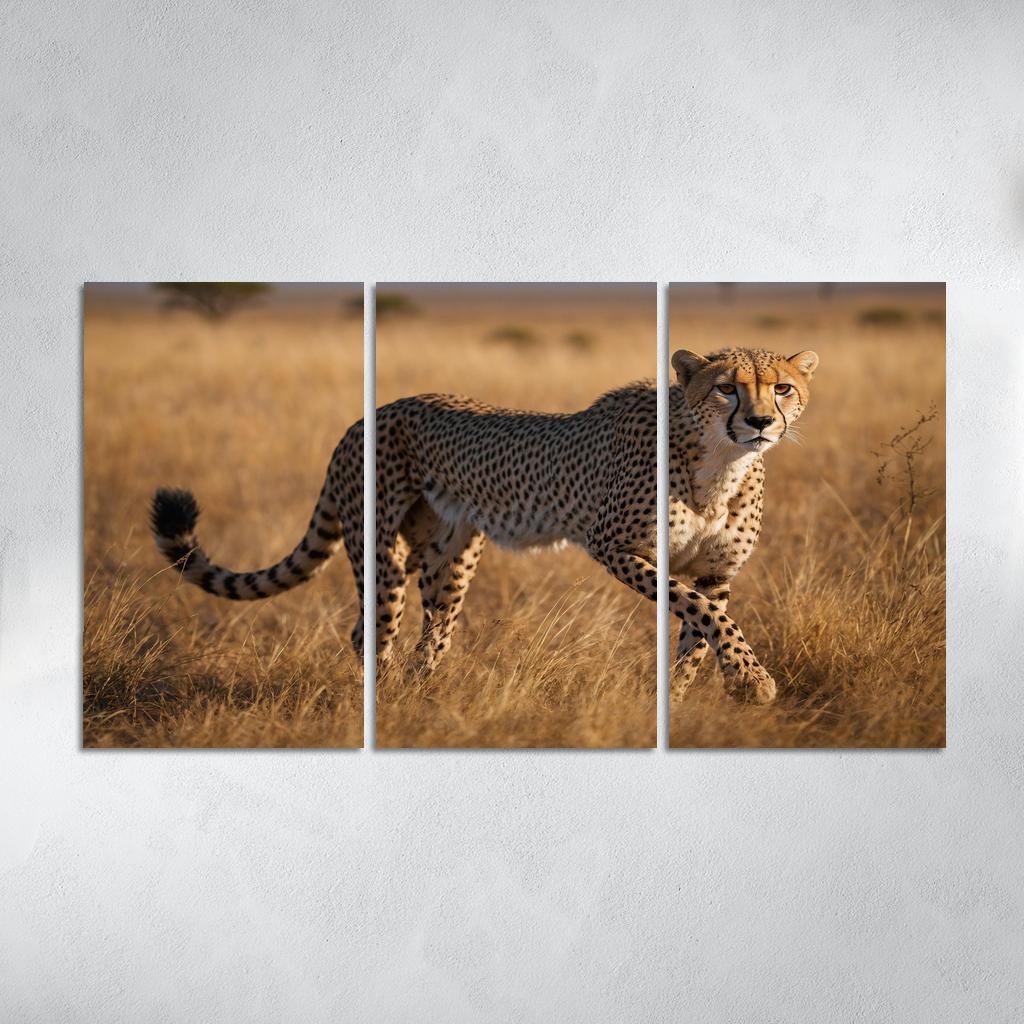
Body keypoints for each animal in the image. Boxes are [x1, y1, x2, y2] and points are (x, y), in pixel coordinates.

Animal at [150, 346, 816, 703]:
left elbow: (699, 632)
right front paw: (753, 681)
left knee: (433, 633)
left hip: (448, 559)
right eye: (727, 389)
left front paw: (688, 695)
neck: (719, 465)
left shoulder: (714, 571)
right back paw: (388, 702)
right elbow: (700, 614)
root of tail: (367, 415)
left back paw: (422, 696)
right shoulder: (616, 547)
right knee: (371, 633)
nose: (760, 422)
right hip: (381, 555)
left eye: (783, 387)